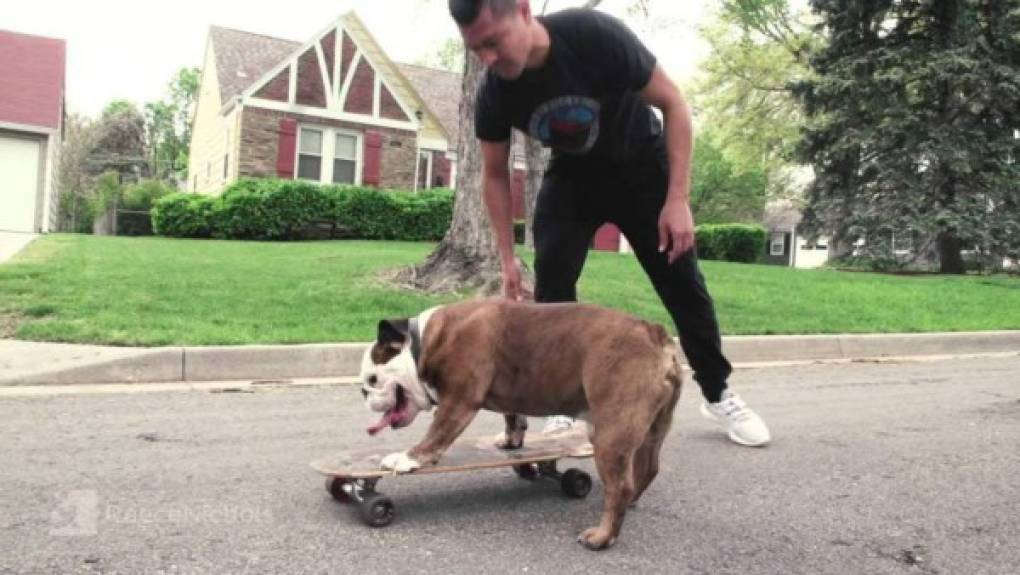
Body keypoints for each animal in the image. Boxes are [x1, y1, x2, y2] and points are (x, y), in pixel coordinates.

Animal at [354, 299, 681, 550]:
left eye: (372, 379)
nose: (363, 394)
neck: (426, 342)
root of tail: (655, 334)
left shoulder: (458, 400)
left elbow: (437, 433)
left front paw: (408, 458)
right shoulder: (507, 395)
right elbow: (512, 416)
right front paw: (511, 441)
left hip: (610, 431)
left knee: (620, 487)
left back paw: (602, 536)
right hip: (652, 429)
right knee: (648, 469)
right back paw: (631, 504)